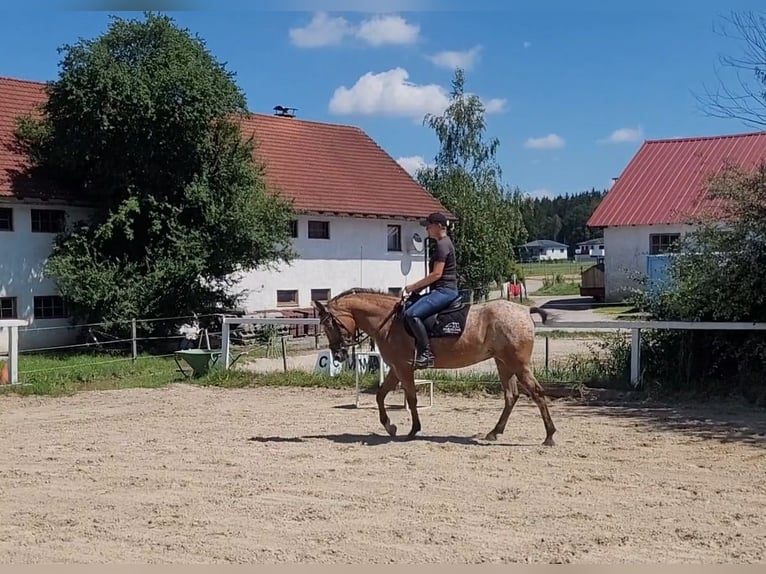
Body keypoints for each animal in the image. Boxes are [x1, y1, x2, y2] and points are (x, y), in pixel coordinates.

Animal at [312, 290, 560, 448]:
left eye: (330, 324)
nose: (339, 355)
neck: (388, 321)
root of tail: (525, 311)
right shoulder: (396, 368)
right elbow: (380, 395)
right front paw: (390, 427)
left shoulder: (404, 368)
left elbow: (411, 399)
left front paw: (413, 430)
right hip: (503, 363)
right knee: (511, 395)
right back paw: (494, 432)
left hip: (518, 364)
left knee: (536, 393)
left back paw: (549, 436)